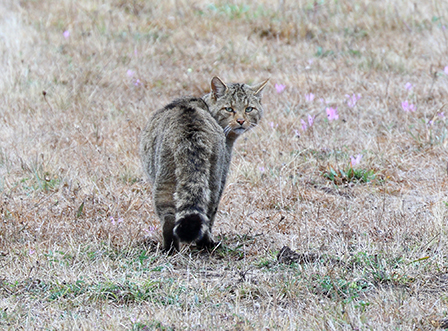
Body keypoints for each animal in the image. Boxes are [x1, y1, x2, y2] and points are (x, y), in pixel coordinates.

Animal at [138, 76, 268, 252]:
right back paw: (204, 245)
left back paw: (172, 250)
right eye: (229, 109)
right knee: (205, 214)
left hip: (166, 180)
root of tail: (190, 130)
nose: (241, 120)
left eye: (249, 109)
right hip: (212, 180)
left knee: (170, 217)